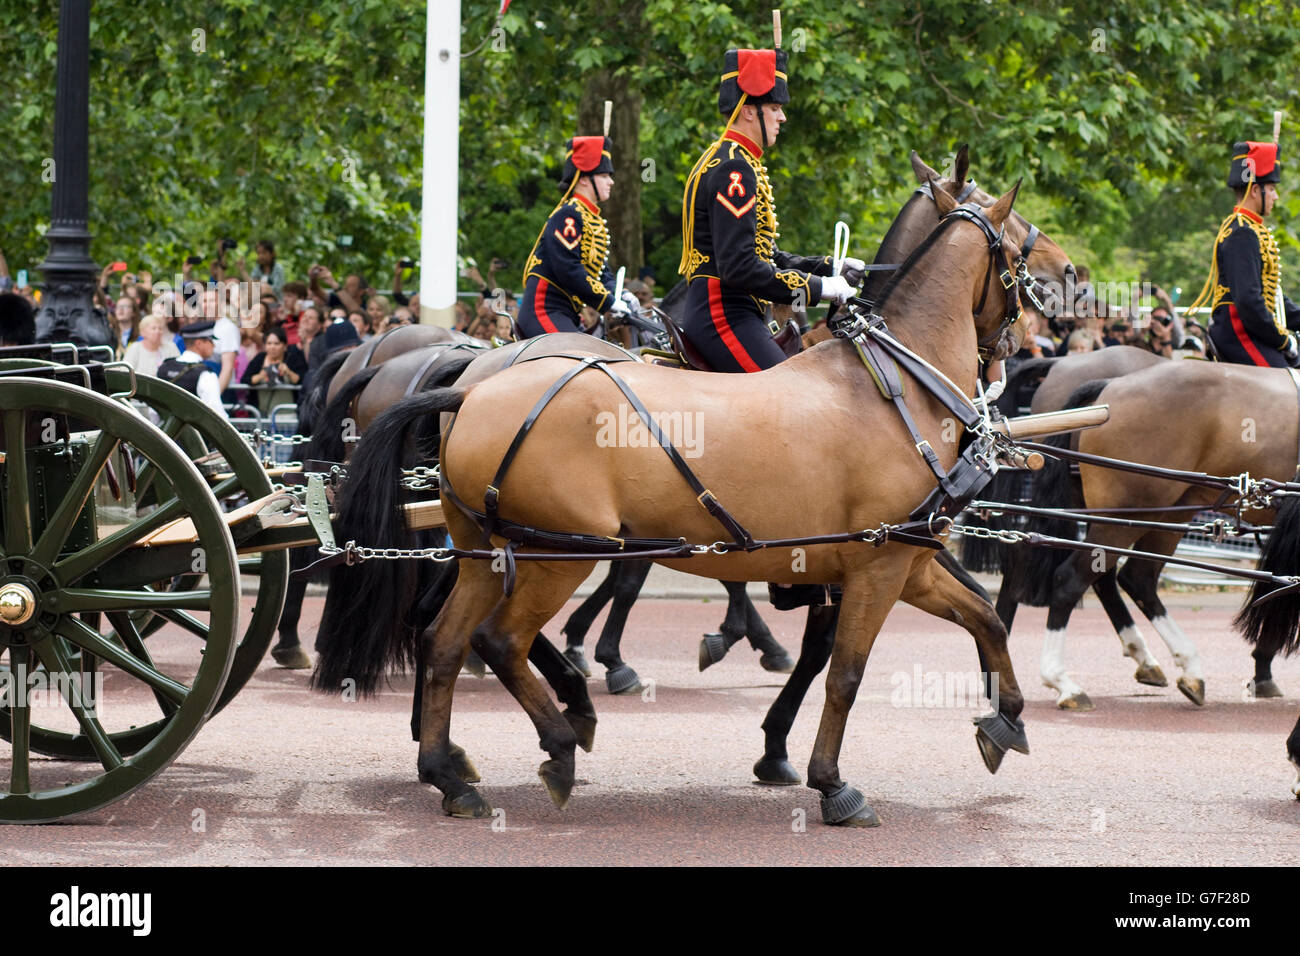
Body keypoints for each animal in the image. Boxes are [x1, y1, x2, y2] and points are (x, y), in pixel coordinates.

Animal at [325, 183, 1034, 827]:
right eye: (1028, 243)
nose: (1029, 334)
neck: (897, 389)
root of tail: (470, 389)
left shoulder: (907, 562)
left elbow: (985, 619)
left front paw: (1005, 719)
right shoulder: (875, 568)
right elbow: (844, 674)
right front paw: (829, 781)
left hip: (487, 553)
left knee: (443, 639)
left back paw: (450, 772)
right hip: (553, 557)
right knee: (498, 640)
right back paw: (559, 740)